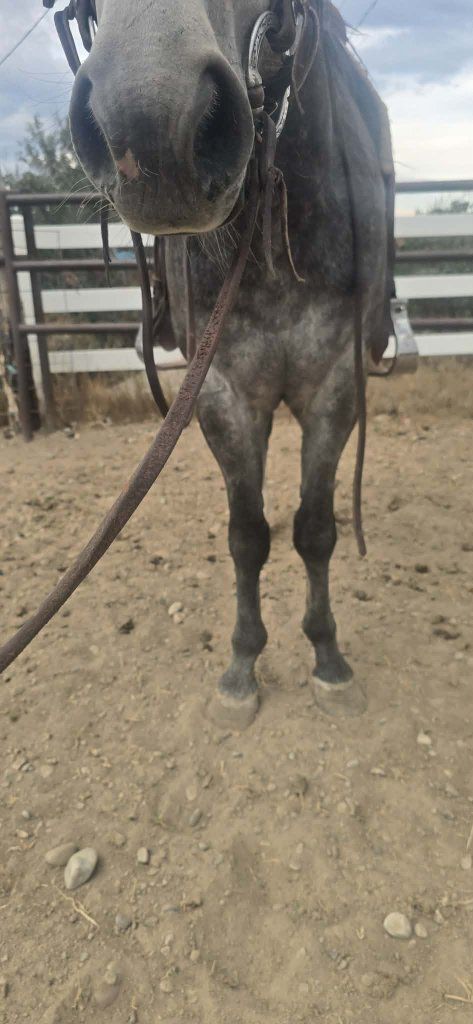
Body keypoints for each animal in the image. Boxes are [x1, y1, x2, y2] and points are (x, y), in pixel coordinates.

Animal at [2, 0, 395, 727]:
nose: (151, 127)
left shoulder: (333, 386)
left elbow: (315, 530)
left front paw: (328, 660)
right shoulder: (221, 395)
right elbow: (246, 535)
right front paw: (242, 667)